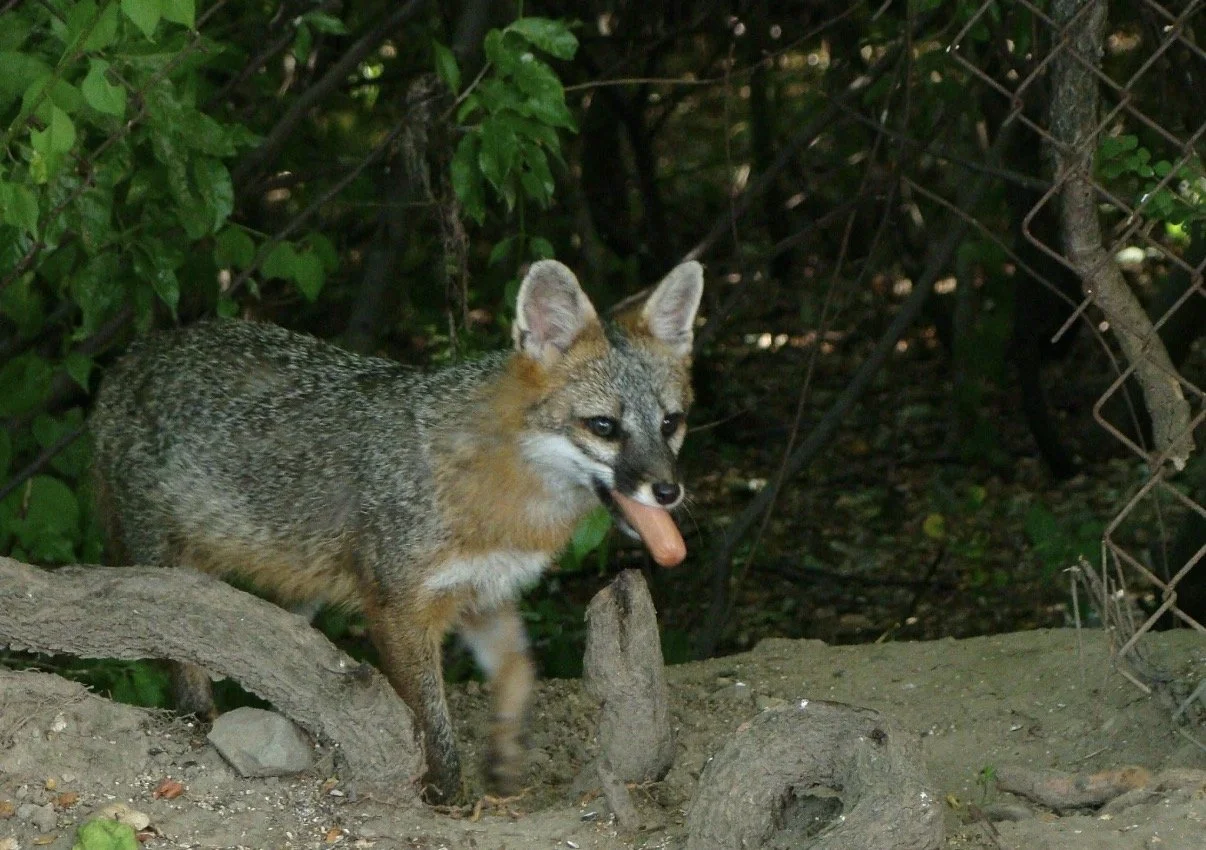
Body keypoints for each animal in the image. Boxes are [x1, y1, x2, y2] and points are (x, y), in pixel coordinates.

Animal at [88, 259, 703, 802]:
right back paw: (200, 717)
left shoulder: (482, 592)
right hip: (169, 571)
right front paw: (447, 798)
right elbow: (432, 724)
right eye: (604, 426)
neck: (502, 492)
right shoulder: (398, 608)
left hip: (297, 601)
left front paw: (504, 757)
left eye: (670, 424)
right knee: (184, 666)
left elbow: (519, 673)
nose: (668, 491)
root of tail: (134, 355)